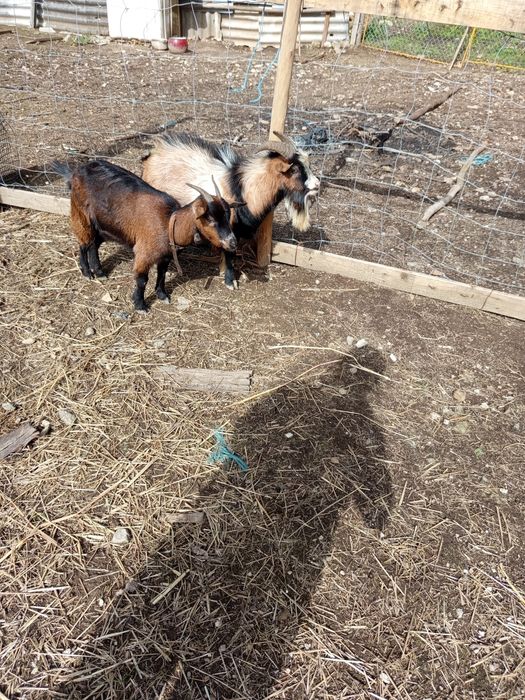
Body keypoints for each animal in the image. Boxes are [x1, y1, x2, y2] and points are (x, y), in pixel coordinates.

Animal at [53, 159, 240, 311]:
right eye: (210, 218)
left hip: (104, 225)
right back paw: (87, 272)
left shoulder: (165, 255)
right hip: (80, 214)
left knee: (94, 245)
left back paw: (99, 272)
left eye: (227, 215)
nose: (232, 243)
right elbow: (142, 280)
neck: (169, 222)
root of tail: (76, 171)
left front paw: (162, 295)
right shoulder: (144, 253)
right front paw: (140, 305)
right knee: (84, 243)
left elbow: (162, 274)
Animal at [141, 131, 320, 289]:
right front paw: (230, 281)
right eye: (294, 169)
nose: (317, 184)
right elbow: (229, 253)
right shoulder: (229, 228)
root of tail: (151, 155)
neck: (243, 189)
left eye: (308, 164)